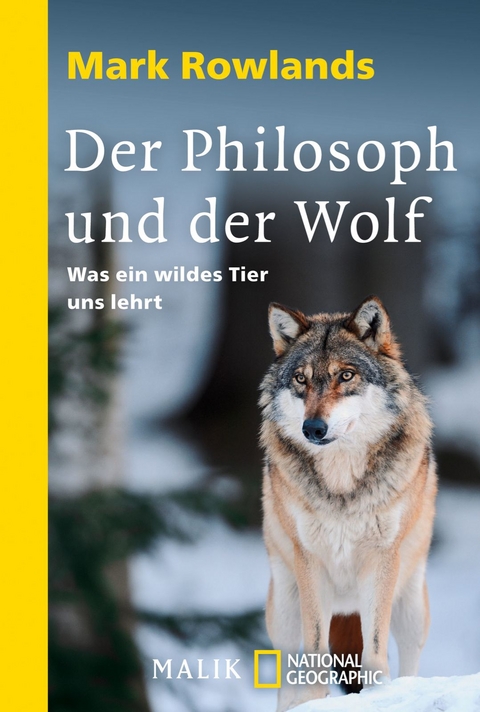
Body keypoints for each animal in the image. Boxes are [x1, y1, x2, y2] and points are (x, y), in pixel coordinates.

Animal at [260, 296, 437, 711]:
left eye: (345, 375)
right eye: (301, 379)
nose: (313, 428)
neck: (341, 484)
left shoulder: (382, 559)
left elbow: (374, 650)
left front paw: (379, 696)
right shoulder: (309, 561)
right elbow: (316, 651)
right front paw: (314, 699)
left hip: (411, 607)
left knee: (409, 658)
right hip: (284, 612)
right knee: (288, 668)